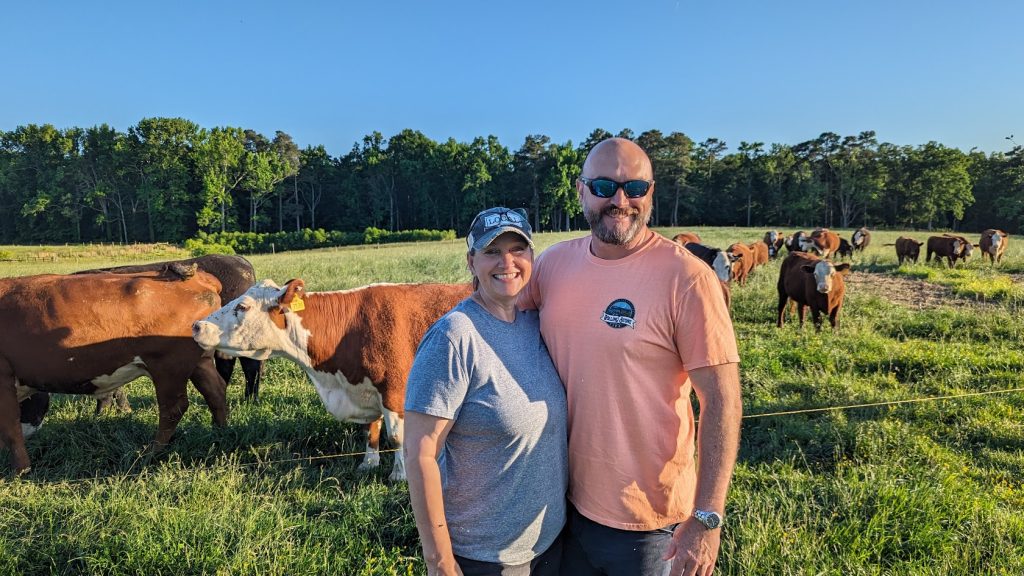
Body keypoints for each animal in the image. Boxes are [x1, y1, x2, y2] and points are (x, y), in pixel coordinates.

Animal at [0, 268, 228, 471]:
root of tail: (199, 278)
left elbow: (10, 428)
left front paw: (20, 470)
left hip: (168, 367)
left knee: (174, 408)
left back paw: (151, 452)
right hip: (200, 362)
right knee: (215, 392)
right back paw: (220, 431)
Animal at [192, 278, 471, 479]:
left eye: (242, 306)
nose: (197, 325)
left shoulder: (394, 392)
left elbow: (396, 437)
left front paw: (400, 475)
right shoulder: (364, 389)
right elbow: (370, 429)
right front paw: (369, 463)